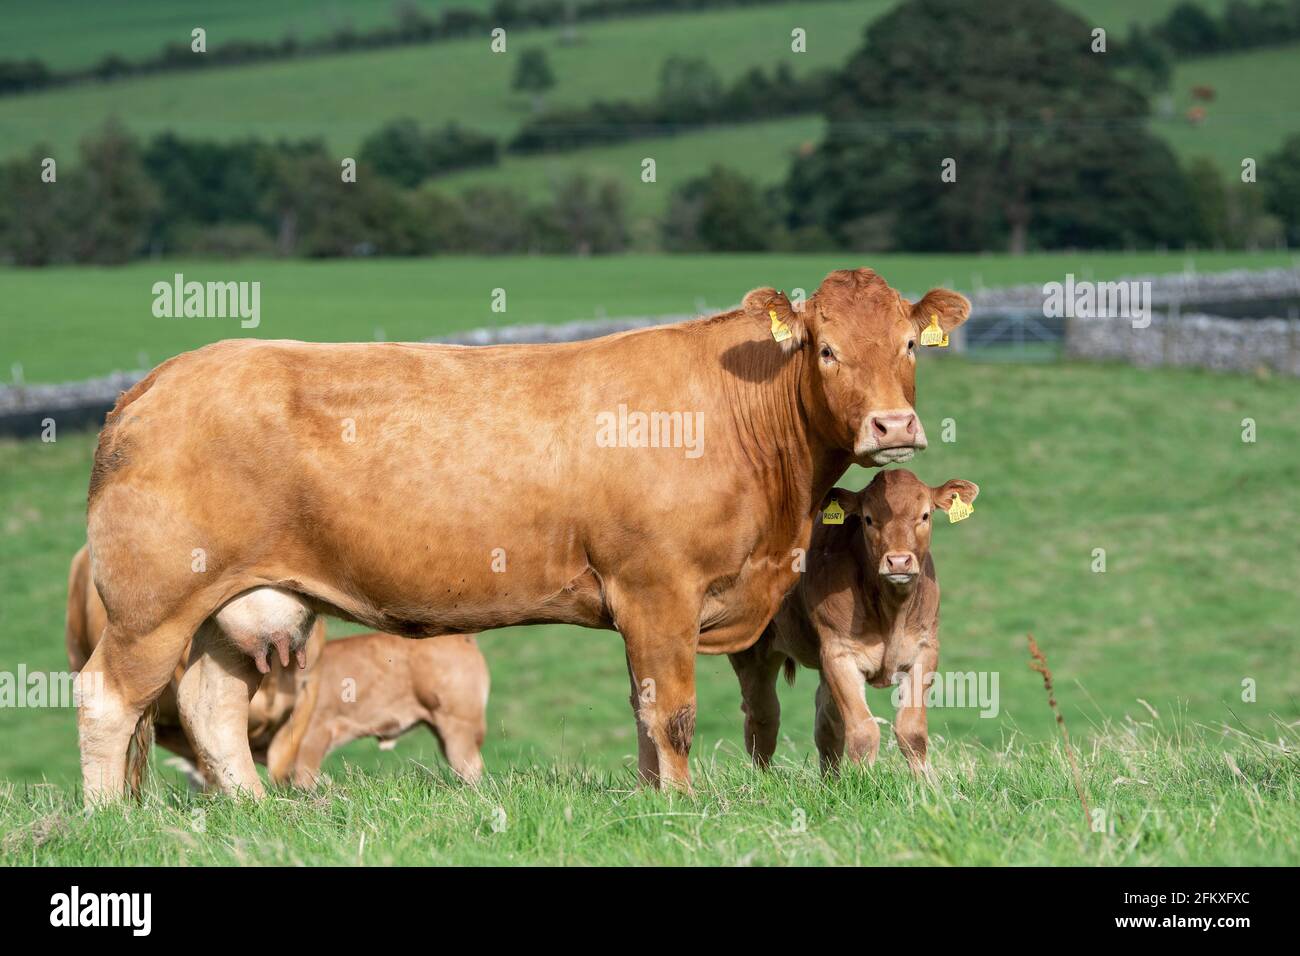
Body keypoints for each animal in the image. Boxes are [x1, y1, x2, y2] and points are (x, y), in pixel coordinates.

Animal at [728, 469, 979, 775]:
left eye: (925, 515)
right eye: (868, 519)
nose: (898, 561)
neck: (892, 612)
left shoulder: (925, 649)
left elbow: (911, 731)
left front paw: (925, 783)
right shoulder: (839, 653)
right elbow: (864, 731)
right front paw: (865, 782)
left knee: (825, 722)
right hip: (752, 653)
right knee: (763, 717)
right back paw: (765, 779)